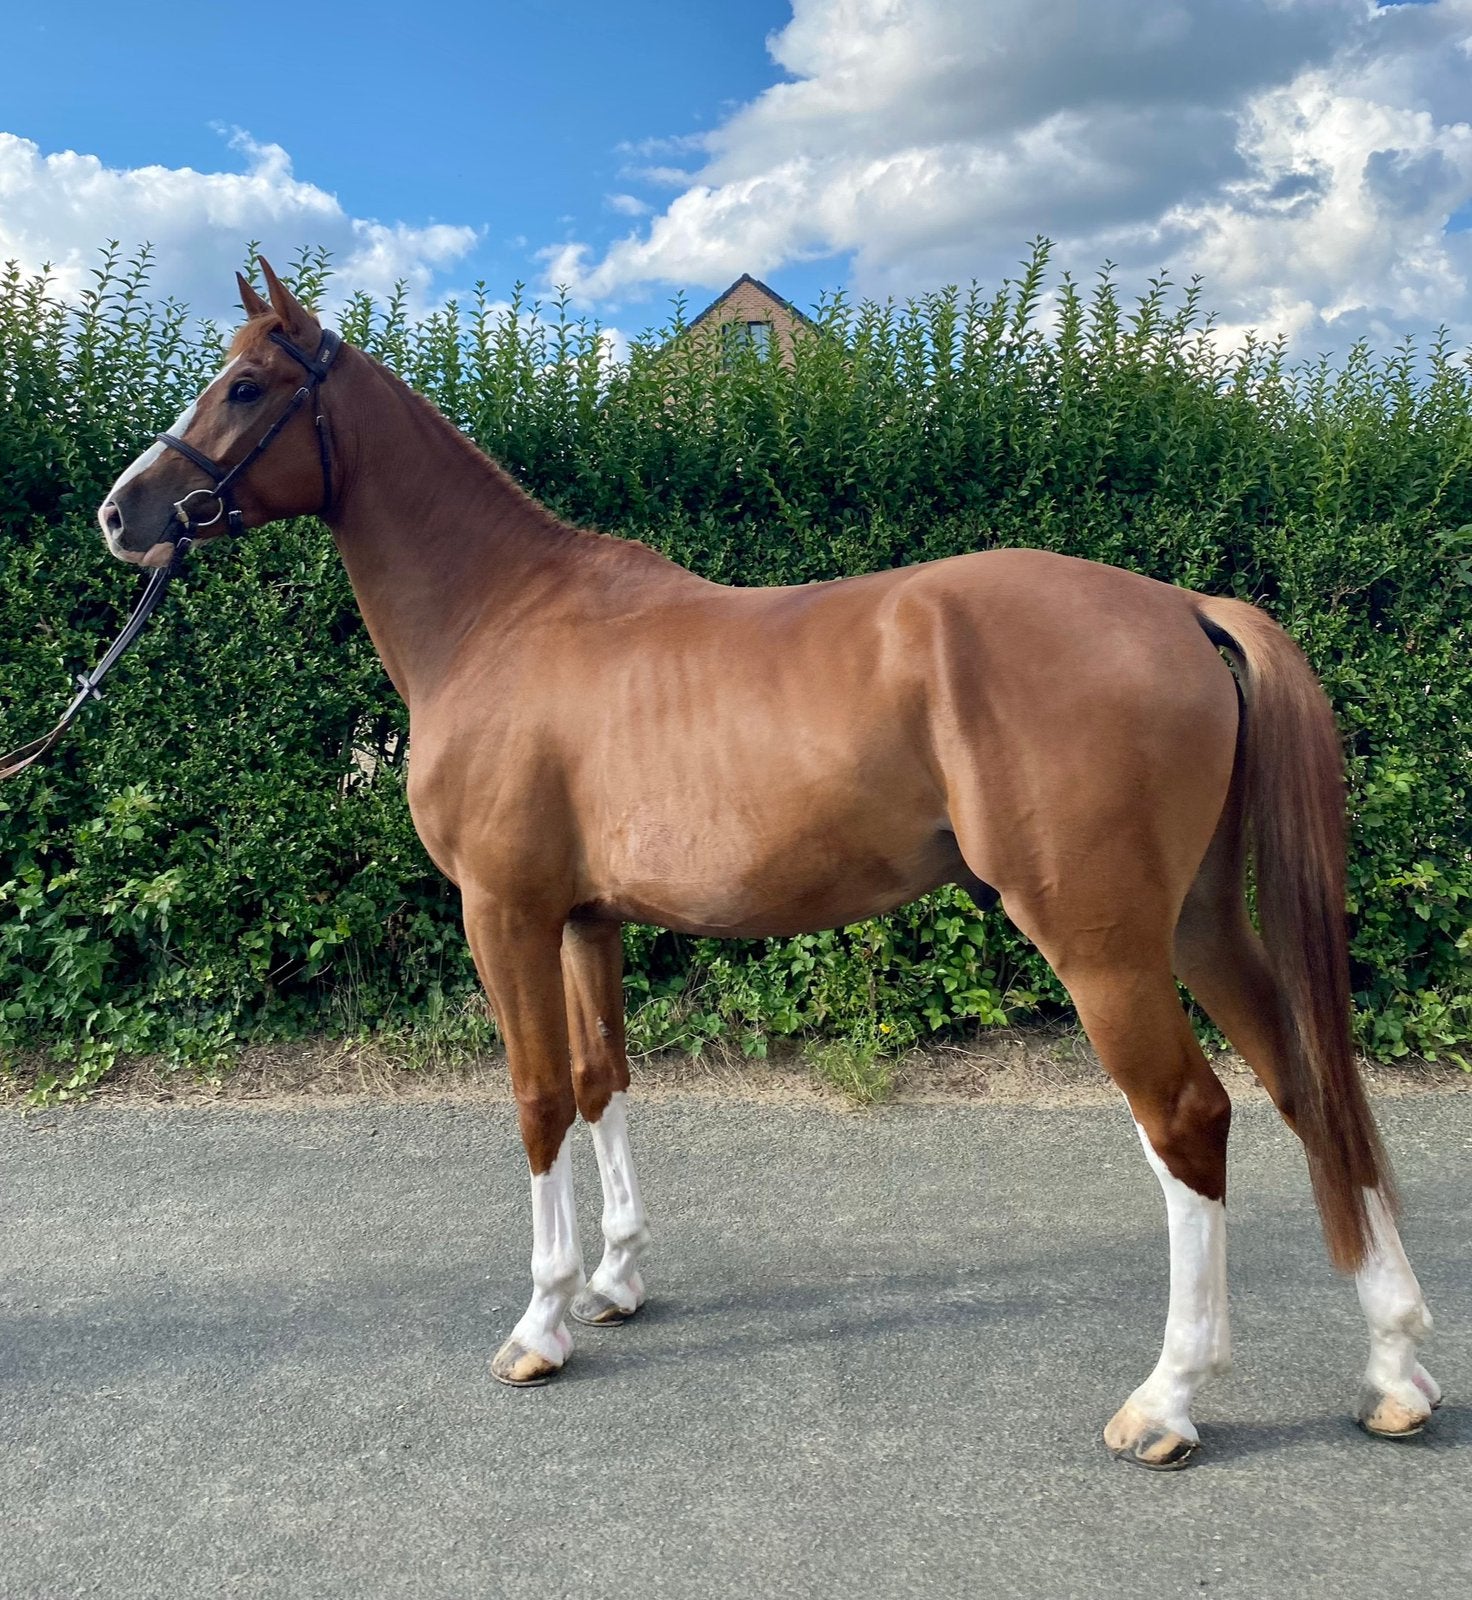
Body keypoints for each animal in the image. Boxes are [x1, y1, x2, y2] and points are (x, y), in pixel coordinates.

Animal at [95, 262, 1439, 1469]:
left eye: (246, 384)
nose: (120, 513)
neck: (501, 619)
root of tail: (1179, 605)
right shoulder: (585, 918)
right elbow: (600, 1080)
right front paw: (615, 1282)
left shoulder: (504, 912)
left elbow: (535, 1098)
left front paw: (539, 1322)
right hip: (1200, 922)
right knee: (1305, 1083)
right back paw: (1392, 1369)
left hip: (1101, 941)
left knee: (1188, 1118)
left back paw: (1166, 1399)